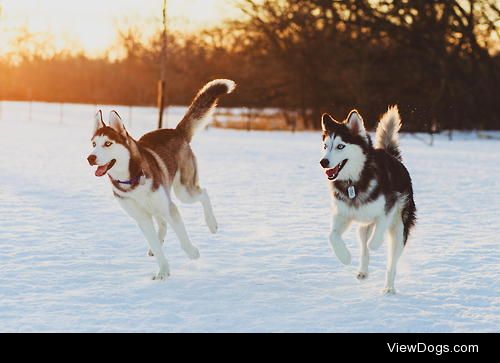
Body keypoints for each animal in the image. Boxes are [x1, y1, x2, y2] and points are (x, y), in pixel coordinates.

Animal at [87, 79, 235, 278]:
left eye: (108, 143)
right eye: (94, 144)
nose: (90, 158)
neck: (132, 180)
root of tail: (176, 131)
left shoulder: (169, 208)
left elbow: (182, 237)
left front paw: (192, 252)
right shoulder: (141, 218)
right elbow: (157, 247)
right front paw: (163, 271)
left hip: (183, 191)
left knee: (203, 193)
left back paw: (212, 224)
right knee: (162, 223)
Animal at [318, 106, 416, 294]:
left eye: (340, 146)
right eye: (325, 146)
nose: (323, 162)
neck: (354, 181)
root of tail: (390, 155)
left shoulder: (390, 205)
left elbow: (381, 226)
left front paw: (375, 244)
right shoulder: (342, 214)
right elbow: (332, 236)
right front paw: (345, 257)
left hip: (399, 229)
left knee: (392, 261)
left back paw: (389, 287)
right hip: (363, 225)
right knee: (363, 244)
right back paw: (363, 270)